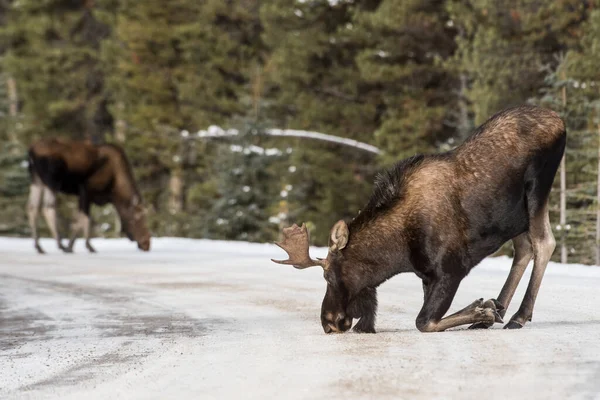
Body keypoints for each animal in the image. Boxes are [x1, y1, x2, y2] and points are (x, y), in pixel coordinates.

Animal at [274, 104, 564, 332]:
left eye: (328, 277)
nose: (328, 323)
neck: (398, 253)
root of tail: (560, 121)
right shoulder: (427, 276)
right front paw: (486, 309)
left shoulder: (451, 269)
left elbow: (423, 321)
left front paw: (483, 309)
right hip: (517, 216)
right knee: (524, 248)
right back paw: (499, 311)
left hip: (537, 188)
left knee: (544, 242)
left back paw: (518, 315)